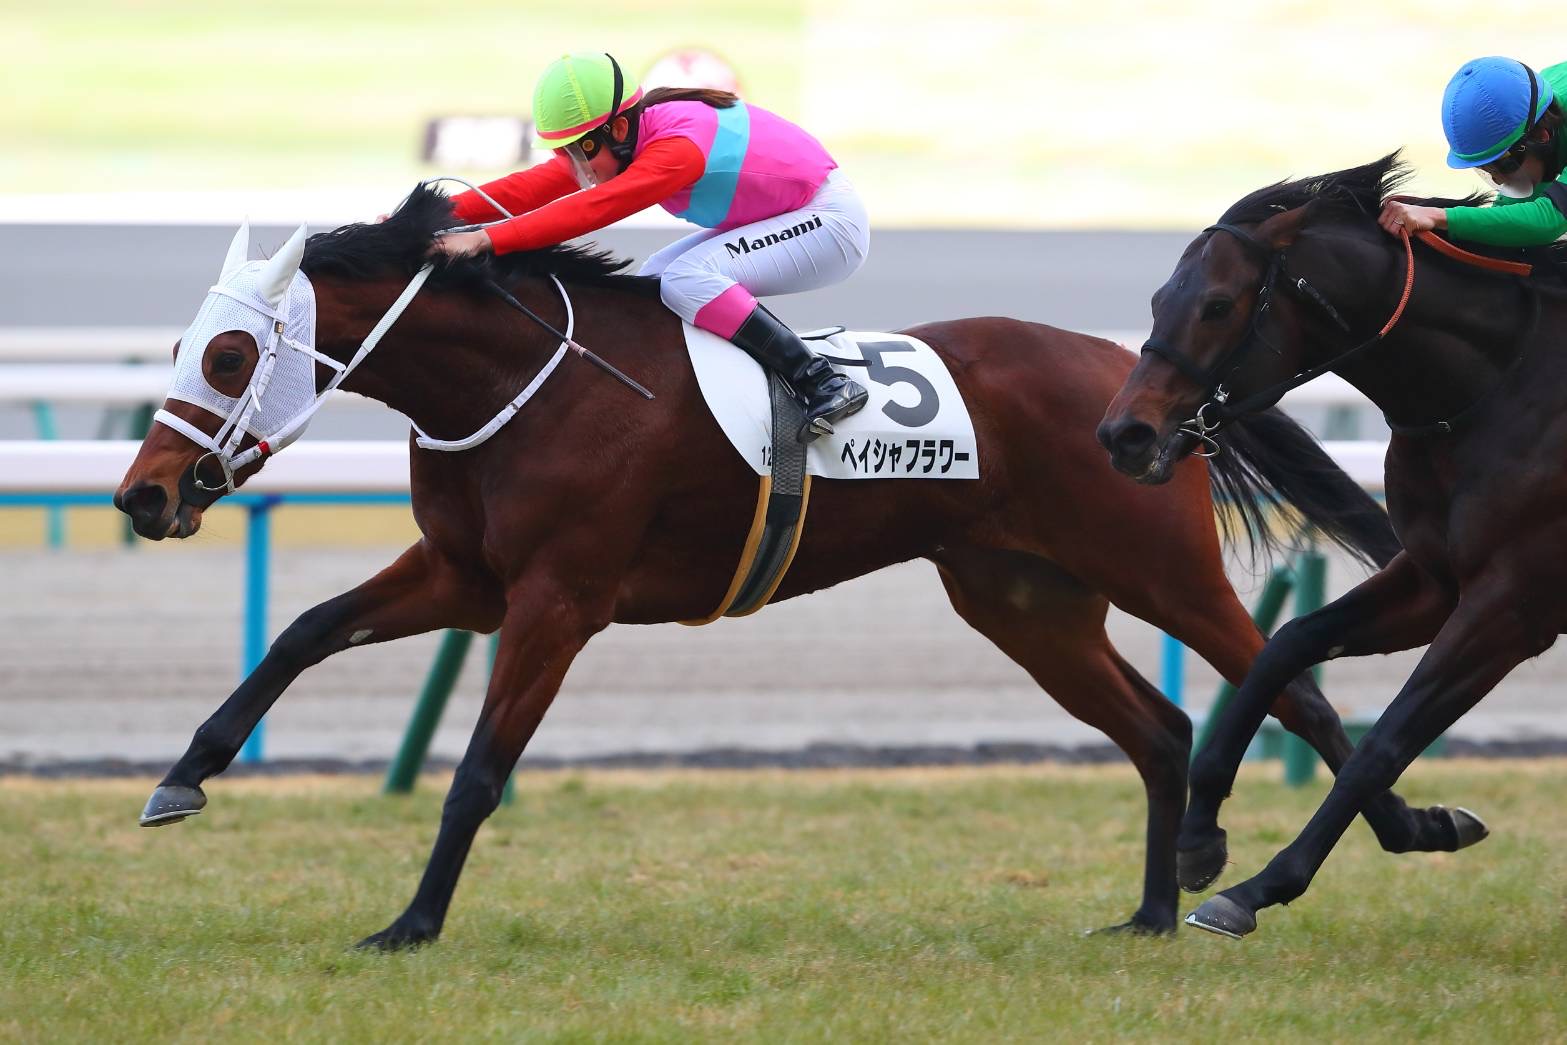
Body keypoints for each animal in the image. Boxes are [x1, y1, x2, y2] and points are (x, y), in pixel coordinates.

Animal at [115, 185, 1478, 950]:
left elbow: (477, 773)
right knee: (1158, 725)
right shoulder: (465, 573)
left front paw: (411, 923)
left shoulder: (559, 599)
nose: (142, 495)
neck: (524, 384)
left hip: (1161, 571)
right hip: (1021, 599)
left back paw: (1383, 836)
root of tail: (1145, 384)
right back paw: (1146, 911)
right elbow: (303, 633)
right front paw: (182, 777)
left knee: (1291, 688)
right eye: (185, 345)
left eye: (229, 354)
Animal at [1096, 153, 1538, 939]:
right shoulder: (1434, 578)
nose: (1125, 435)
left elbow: (1383, 744)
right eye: (1157, 299)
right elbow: (1286, 646)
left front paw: (1256, 888)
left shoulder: (1512, 603)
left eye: (1217, 305)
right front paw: (1198, 836)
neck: (1494, 387)